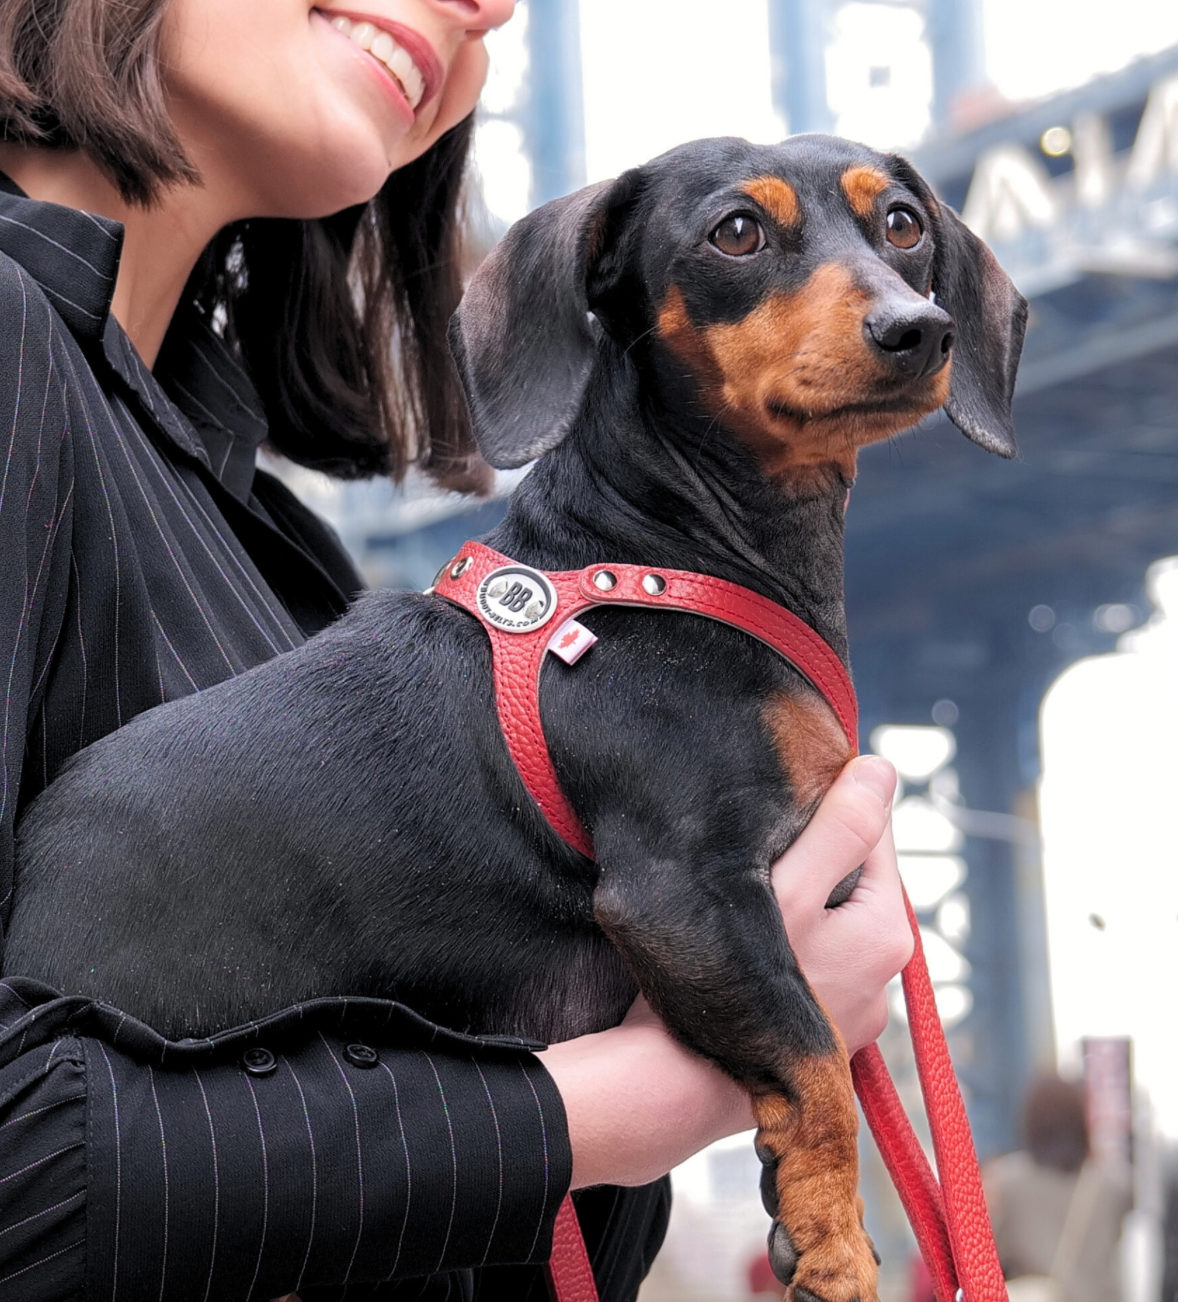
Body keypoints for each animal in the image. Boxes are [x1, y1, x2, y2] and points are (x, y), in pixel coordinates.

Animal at [6, 137, 1020, 1296]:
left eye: (901, 223)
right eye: (736, 233)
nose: (917, 328)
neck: (670, 558)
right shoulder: (681, 897)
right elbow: (813, 1055)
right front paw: (834, 1243)